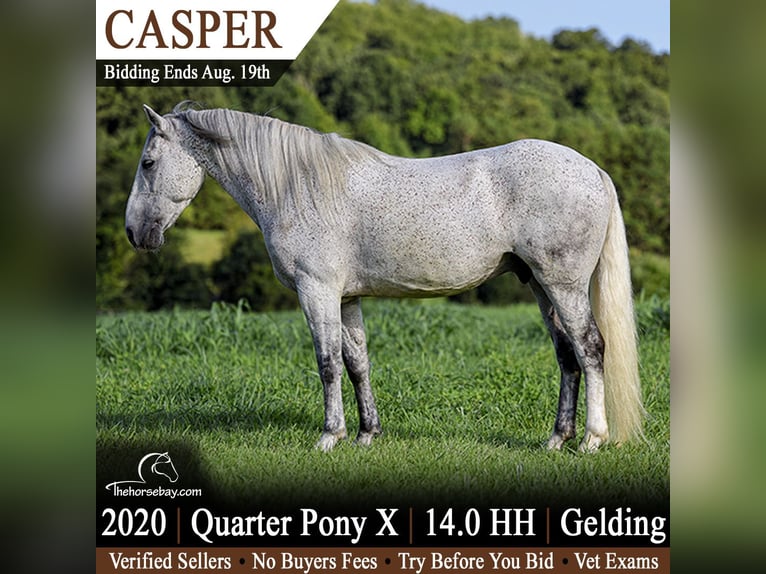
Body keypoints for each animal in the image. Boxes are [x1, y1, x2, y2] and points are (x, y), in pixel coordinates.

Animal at [125, 102, 644, 453]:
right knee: (567, 356)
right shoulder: (346, 298)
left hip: (563, 285)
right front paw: (366, 434)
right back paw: (556, 439)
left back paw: (592, 440)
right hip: (540, 285)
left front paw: (329, 436)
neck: (299, 186)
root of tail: (593, 169)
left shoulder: (317, 292)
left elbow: (328, 363)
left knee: (591, 348)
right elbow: (357, 363)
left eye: (148, 162)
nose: (135, 232)